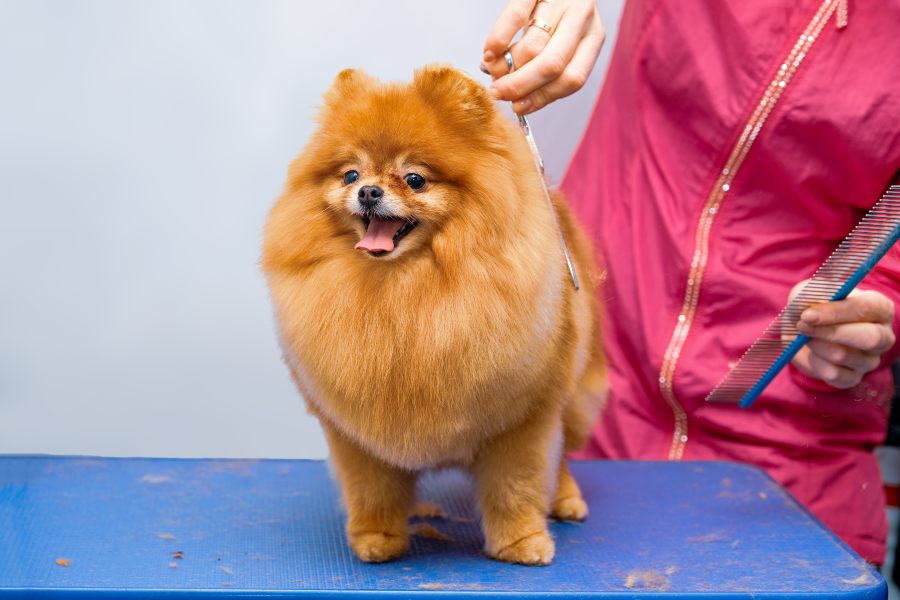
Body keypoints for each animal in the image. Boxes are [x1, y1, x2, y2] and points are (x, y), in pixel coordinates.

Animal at [264, 67, 608, 568]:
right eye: (350, 174)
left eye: (415, 179)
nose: (368, 191)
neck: (408, 294)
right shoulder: (356, 430)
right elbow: (372, 489)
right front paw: (376, 537)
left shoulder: (523, 419)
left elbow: (517, 486)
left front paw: (522, 542)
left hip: (574, 390)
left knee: (561, 453)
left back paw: (565, 499)